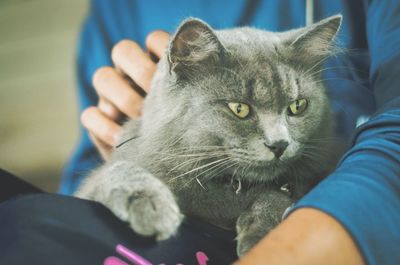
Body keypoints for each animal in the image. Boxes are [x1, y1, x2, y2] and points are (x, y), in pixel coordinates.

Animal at [76, 15, 344, 255]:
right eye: (239, 109)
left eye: (297, 106)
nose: (279, 144)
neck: (229, 187)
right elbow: (118, 171)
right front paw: (150, 204)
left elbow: (278, 194)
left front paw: (261, 232)